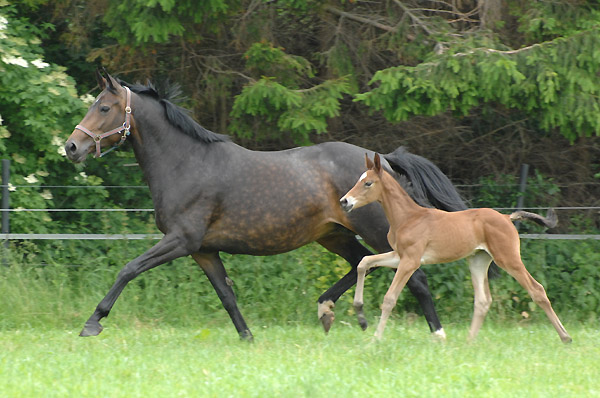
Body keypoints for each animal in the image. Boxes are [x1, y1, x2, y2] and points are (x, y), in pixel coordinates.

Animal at [65, 70, 468, 340]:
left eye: (104, 108)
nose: (71, 147)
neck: (187, 163)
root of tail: (382, 163)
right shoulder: (203, 250)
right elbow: (226, 294)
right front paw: (248, 338)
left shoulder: (181, 240)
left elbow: (128, 269)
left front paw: (92, 322)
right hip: (333, 234)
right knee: (361, 263)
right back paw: (326, 309)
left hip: (375, 231)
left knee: (414, 277)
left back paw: (437, 334)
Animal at [342, 154, 572, 344]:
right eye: (358, 180)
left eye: (368, 183)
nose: (344, 201)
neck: (408, 217)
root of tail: (508, 217)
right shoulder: (399, 256)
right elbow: (364, 263)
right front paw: (360, 315)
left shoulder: (410, 261)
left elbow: (389, 298)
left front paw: (374, 340)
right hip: (478, 260)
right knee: (483, 300)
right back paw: (468, 342)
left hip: (508, 258)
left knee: (537, 290)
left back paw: (565, 337)